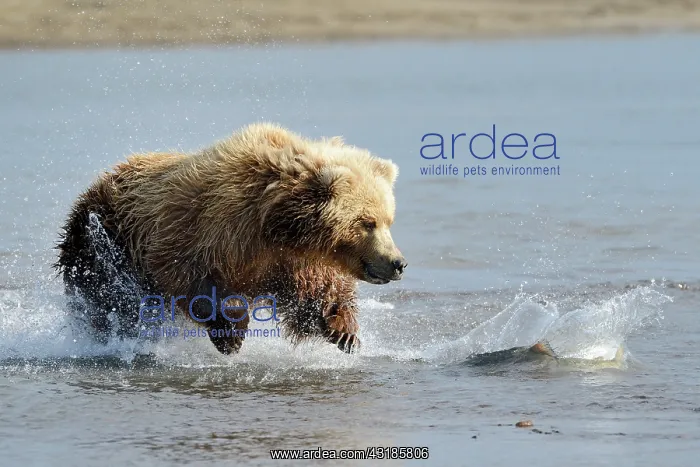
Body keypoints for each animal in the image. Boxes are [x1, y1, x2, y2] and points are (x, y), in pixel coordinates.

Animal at [54, 123, 406, 355]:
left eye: (389, 220)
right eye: (368, 222)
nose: (397, 262)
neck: (277, 224)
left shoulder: (293, 258)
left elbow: (317, 291)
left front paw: (344, 331)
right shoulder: (207, 230)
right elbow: (193, 279)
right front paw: (232, 334)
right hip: (101, 244)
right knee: (109, 299)